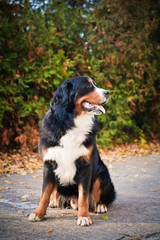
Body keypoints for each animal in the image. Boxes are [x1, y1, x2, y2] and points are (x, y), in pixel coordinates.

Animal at [28, 76, 115, 226]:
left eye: (95, 84)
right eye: (88, 86)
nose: (108, 92)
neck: (71, 123)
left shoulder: (85, 165)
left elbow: (83, 196)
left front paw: (84, 216)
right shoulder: (49, 165)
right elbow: (44, 193)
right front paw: (38, 213)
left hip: (102, 175)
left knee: (99, 196)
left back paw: (100, 205)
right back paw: (53, 202)